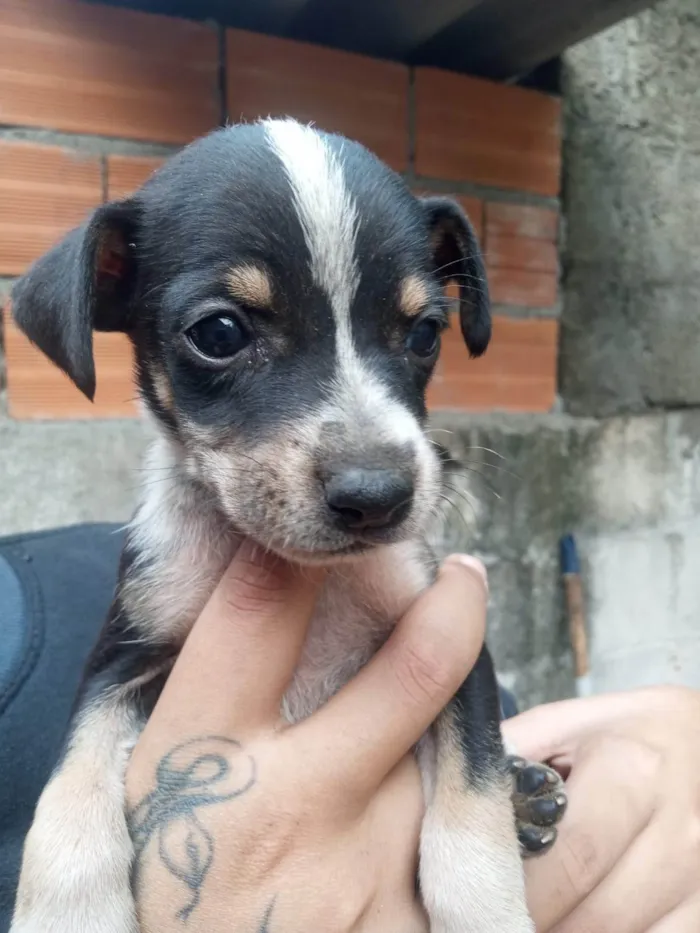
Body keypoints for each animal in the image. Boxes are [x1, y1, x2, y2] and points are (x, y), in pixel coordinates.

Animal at [8, 120, 568, 928]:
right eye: (218, 332)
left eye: (426, 332)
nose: (378, 496)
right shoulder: (118, 664)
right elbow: (69, 785)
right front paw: (69, 909)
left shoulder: (459, 653)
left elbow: (473, 808)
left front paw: (486, 904)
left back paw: (527, 796)